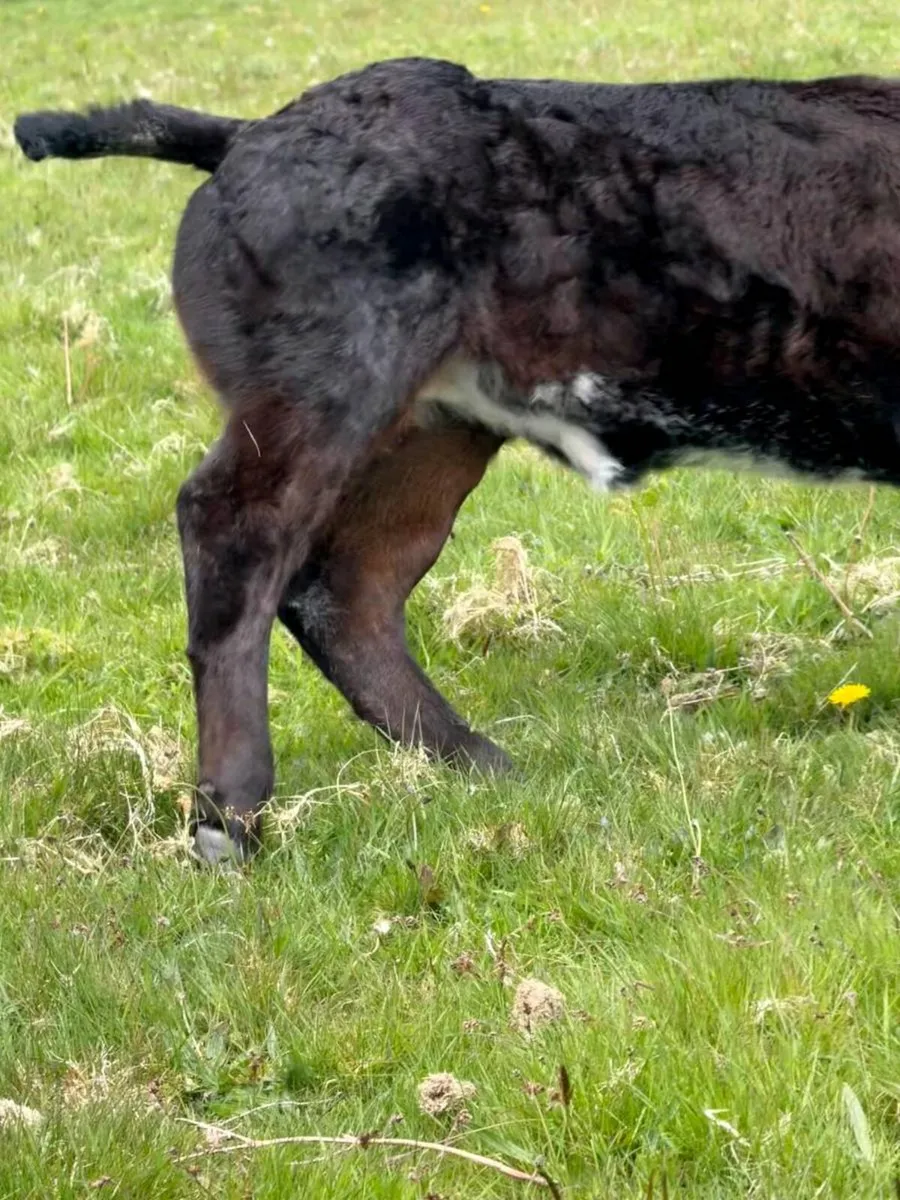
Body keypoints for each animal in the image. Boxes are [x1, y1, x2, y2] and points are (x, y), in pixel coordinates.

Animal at [15, 57, 900, 863]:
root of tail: (251, 133)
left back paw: (480, 765)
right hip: (327, 387)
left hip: (434, 428)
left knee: (345, 588)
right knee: (234, 530)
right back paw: (231, 818)